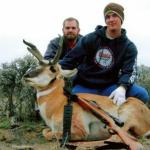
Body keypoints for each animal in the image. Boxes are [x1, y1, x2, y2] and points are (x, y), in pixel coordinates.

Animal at [22, 39, 150, 149]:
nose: (26, 76)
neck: (59, 103)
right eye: (38, 65)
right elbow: (45, 131)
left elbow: (52, 134)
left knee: (116, 137)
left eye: (52, 69)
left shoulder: (79, 131)